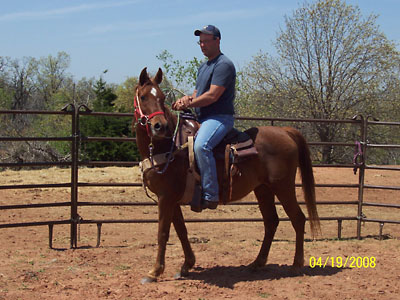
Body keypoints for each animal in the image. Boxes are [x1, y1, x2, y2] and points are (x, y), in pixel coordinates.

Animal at [134, 67, 318, 284]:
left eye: (162, 98)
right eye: (143, 96)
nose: (159, 127)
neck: (169, 146)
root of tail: (286, 131)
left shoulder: (166, 198)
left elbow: (163, 233)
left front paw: (154, 272)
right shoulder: (172, 199)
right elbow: (181, 230)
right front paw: (187, 265)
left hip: (283, 187)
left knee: (298, 218)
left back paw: (296, 265)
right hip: (263, 190)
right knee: (271, 221)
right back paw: (257, 263)